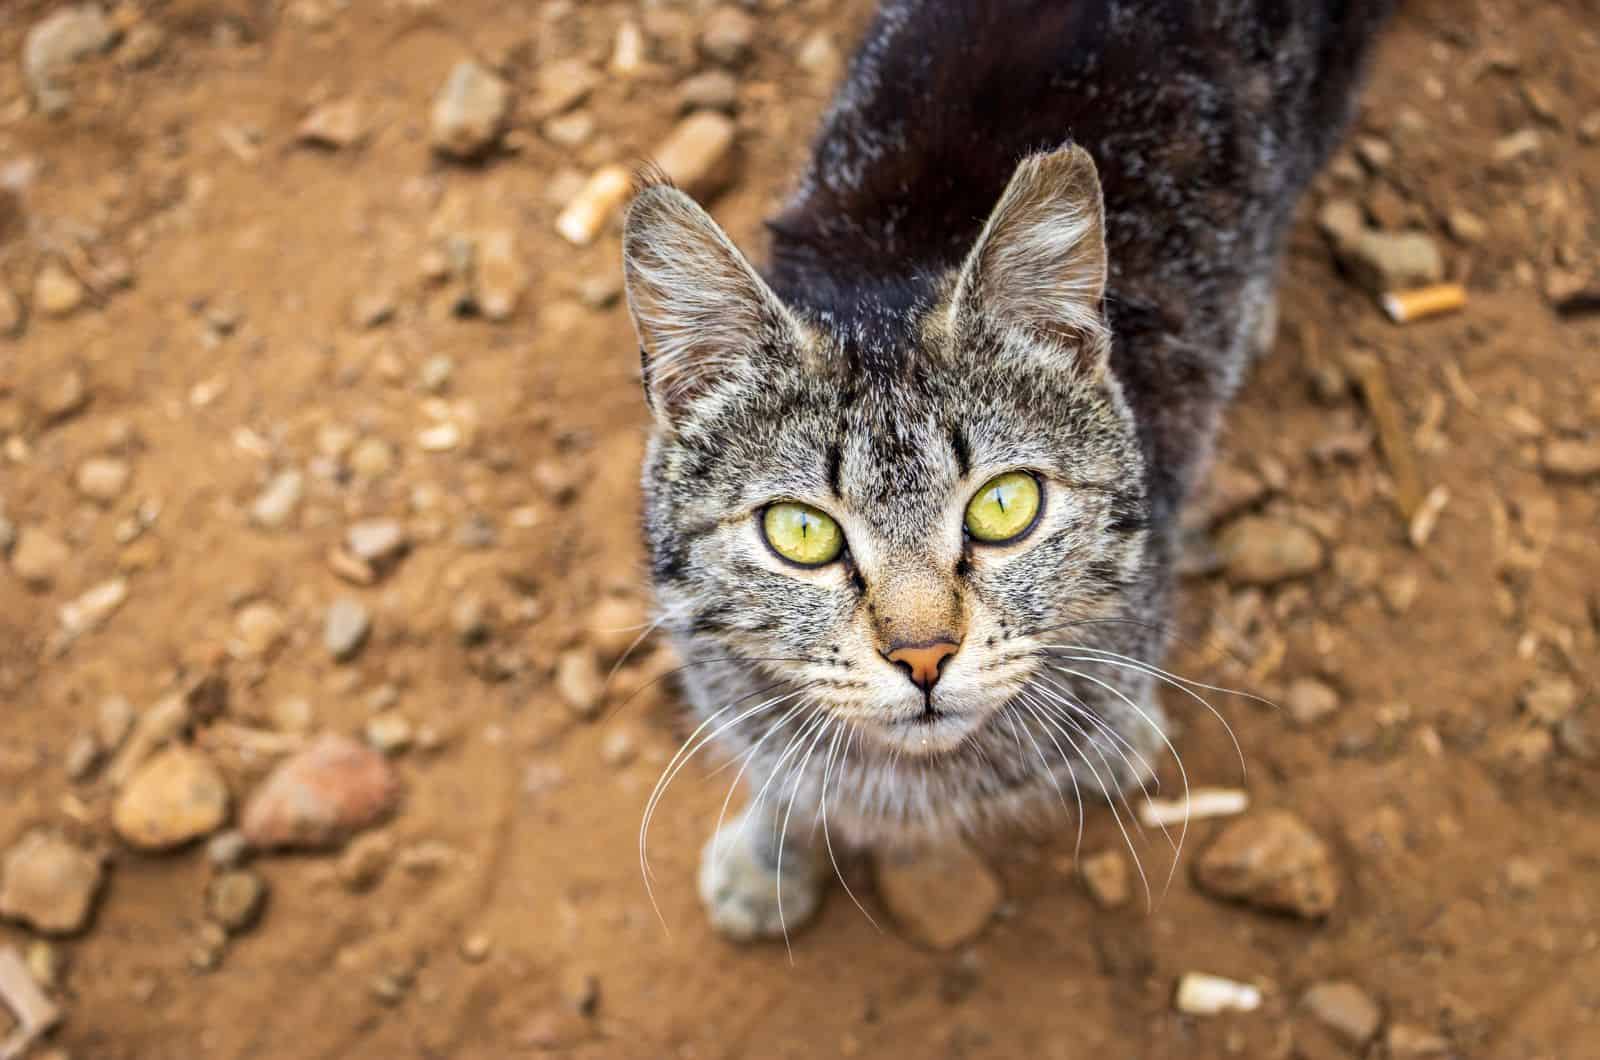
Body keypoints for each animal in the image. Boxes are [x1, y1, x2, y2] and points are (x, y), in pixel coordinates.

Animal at [617, 0, 1395, 947]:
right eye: (800, 532)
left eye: (1004, 505)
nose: (923, 658)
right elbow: (785, 768)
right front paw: (771, 850)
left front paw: (1116, 732)